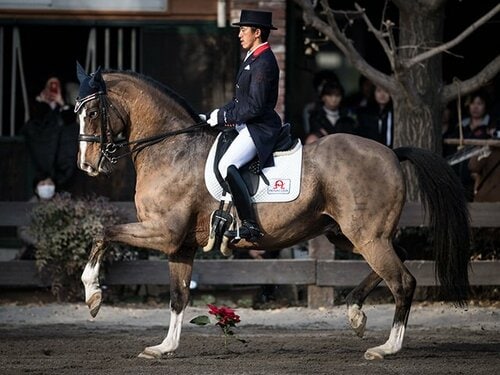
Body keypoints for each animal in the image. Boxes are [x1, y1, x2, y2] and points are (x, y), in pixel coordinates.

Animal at [75, 64, 472, 362]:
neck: (172, 148)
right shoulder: (180, 244)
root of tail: (391, 152)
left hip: (366, 236)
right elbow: (178, 296)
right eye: (77, 113)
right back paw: (356, 313)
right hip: (348, 234)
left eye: (92, 112)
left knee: (402, 281)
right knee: (397, 260)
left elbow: (104, 231)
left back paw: (386, 347)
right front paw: (164, 348)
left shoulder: (163, 231)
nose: (86, 165)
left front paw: (93, 295)